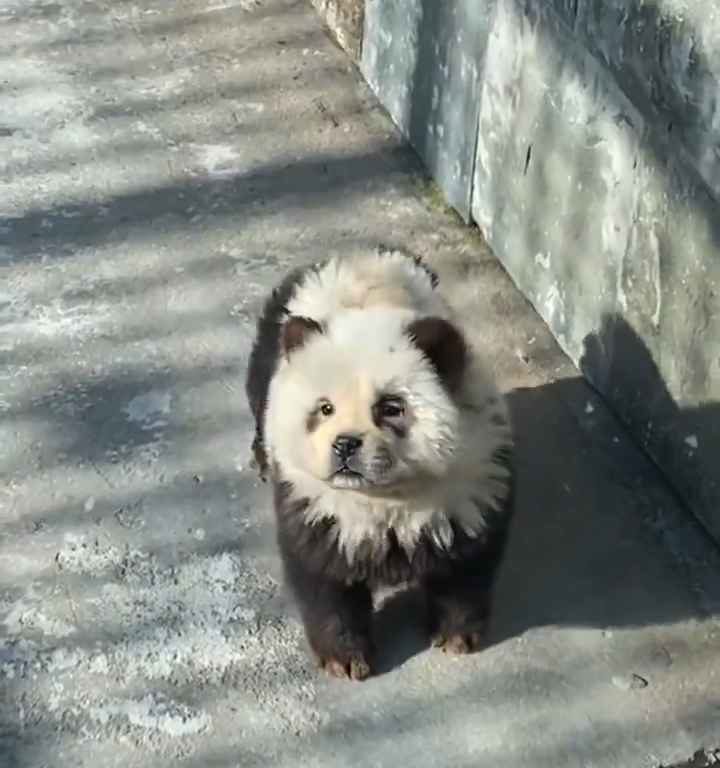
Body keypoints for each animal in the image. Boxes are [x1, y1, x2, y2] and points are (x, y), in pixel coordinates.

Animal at [245, 249, 516, 680]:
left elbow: (466, 567)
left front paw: (455, 636)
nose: (345, 445)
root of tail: (358, 255)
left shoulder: (473, 483)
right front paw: (344, 658)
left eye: (390, 408)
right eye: (324, 408)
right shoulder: (316, 504)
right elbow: (324, 579)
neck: (386, 499)